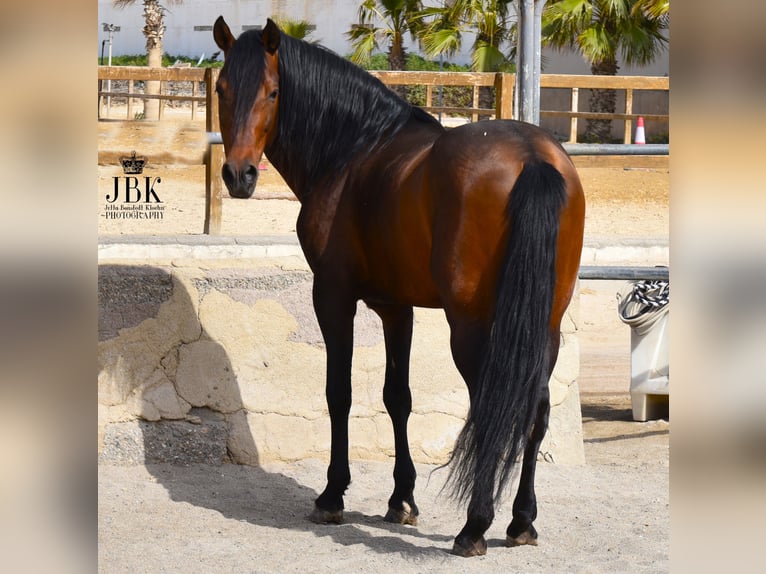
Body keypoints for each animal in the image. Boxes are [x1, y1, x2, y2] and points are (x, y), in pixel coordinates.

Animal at [213, 16, 584, 560]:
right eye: (221, 89)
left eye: (273, 91)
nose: (238, 175)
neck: (354, 149)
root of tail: (533, 156)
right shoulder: (396, 307)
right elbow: (397, 396)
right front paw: (402, 499)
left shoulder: (333, 296)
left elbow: (339, 392)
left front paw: (332, 494)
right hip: (546, 328)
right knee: (534, 413)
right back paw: (521, 522)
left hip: (471, 328)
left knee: (493, 408)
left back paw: (475, 527)